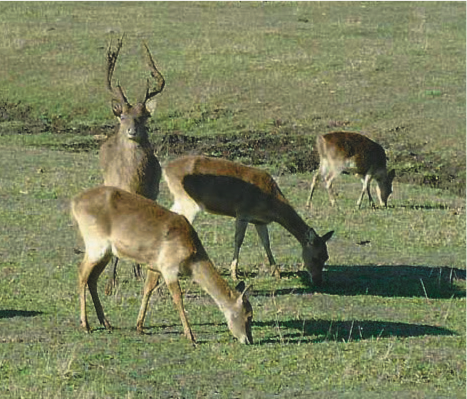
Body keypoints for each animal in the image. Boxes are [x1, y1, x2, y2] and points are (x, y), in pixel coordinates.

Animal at [71, 186, 254, 346]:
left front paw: (139, 327)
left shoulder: (154, 266)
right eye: (248, 315)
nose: (248, 340)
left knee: (92, 279)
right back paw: (85, 325)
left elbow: (148, 289)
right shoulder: (169, 268)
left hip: (107, 253)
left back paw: (106, 323)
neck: (192, 254)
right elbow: (178, 298)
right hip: (96, 247)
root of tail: (75, 202)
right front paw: (191, 336)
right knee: (81, 274)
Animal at [99, 36, 165, 294]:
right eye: (123, 116)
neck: (133, 183)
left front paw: (143, 275)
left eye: (143, 116)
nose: (132, 130)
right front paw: (110, 284)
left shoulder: (151, 195)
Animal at [163, 155, 334, 284]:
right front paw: (234, 274)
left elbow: (266, 243)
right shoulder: (242, 213)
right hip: (187, 201)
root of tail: (166, 169)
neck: (270, 201)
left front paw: (277, 272)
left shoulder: (259, 221)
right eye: (316, 257)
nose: (318, 281)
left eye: (326, 256)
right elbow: (239, 240)